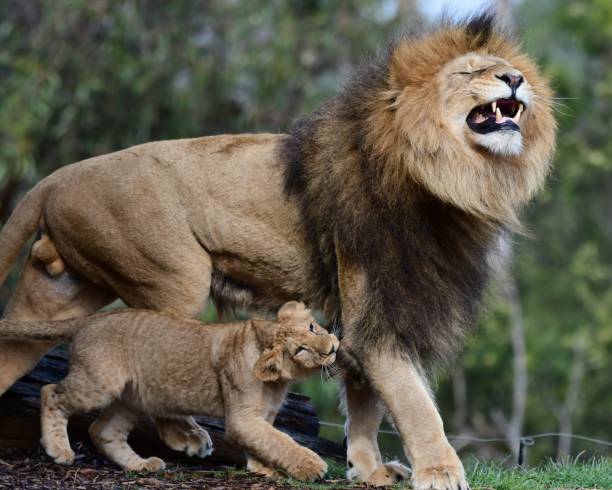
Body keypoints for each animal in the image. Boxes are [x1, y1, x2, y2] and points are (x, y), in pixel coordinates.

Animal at [0, 300, 338, 480]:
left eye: (312, 327)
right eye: (301, 350)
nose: (333, 347)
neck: (279, 381)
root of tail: (93, 318)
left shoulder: (260, 417)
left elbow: (267, 443)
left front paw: (262, 470)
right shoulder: (242, 417)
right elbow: (281, 441)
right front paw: (312, 466)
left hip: (131, 398)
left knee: (103, 431)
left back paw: (141, 465)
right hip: (98, 384)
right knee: (51, 392)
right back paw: (59, 449)